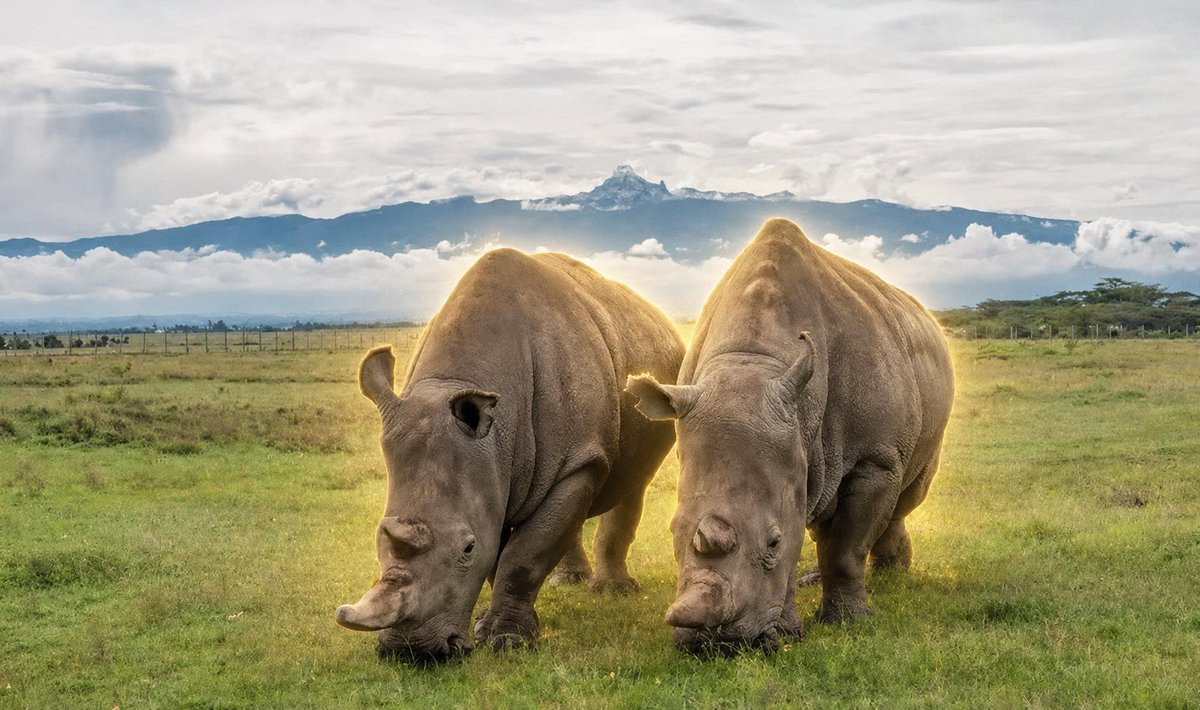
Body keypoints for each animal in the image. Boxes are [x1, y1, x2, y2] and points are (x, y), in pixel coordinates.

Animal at [335, 248, 683, 662]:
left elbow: (524, 554)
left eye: (466, 548)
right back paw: (569, 581)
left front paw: (508, 640)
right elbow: (503, 551)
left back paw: (613, 590)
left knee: (632, 483)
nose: (412, 651)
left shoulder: (577, 460)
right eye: (379, 537)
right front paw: (490, 627)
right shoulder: (491, 468)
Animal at [627, 218, 954, 654]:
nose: (715, 644)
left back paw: (892, 573)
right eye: (672, 531)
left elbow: (845, 550)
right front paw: (788, 632)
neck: (753, 362)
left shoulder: (875, 459)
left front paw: (848, 622)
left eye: (773, 543)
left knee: (905, 497)